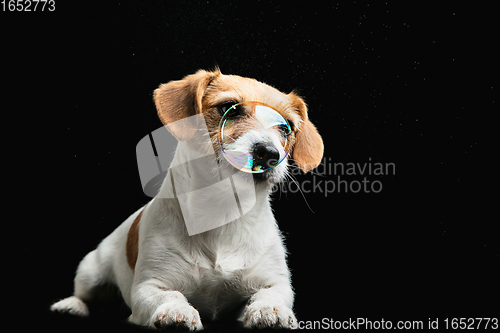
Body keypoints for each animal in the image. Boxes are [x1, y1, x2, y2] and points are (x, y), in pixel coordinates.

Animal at [51, 68, 324, 328]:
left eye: (286, 127)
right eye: (229, 108)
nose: (268, 153)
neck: (222, 212)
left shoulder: (275, 283)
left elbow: (270, 295)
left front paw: (270, 310)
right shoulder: (149, 286)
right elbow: (170, 295)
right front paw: (176, 310)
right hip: (90, 270)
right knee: (84, 293)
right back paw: (71, 305)